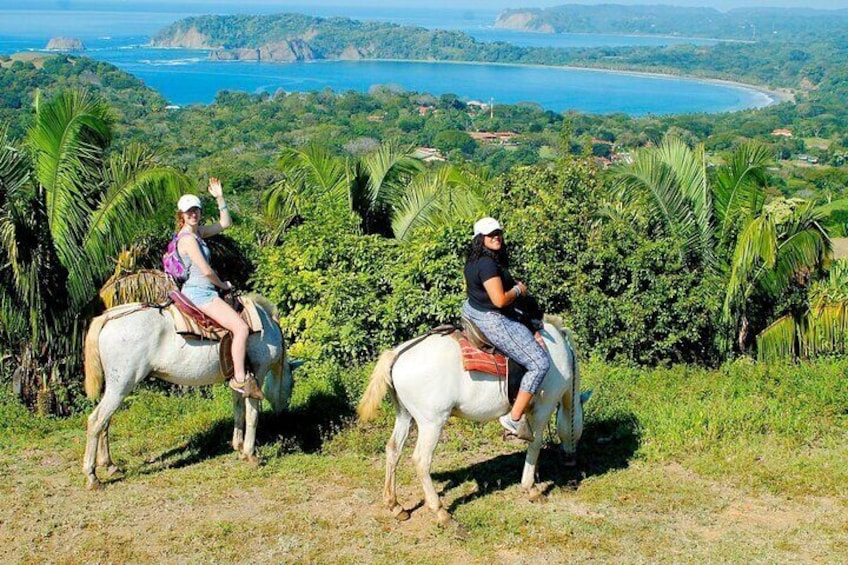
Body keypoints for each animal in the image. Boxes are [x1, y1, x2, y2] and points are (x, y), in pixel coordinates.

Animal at [83, 296, 294, 490]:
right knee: (96, 421)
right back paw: (92, 477)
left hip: (116, 388)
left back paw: (110, 466)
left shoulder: (238, 380)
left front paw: (239, 447)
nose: (283, 414)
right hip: (122, 386)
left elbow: (238, 411)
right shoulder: (257, 373)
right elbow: (252, 416)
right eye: (291, 386)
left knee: (105, 422)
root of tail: (110, 317)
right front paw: (251, 454)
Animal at [358, 318, 588, 524]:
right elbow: (535, 443)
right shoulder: (544, 406)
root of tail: (397, 355)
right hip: (432, 422)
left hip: (405, 416)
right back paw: (440, 512)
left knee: (393, 450)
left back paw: (395, 506)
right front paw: (530, 488)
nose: (571, 459)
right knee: (421, 460)